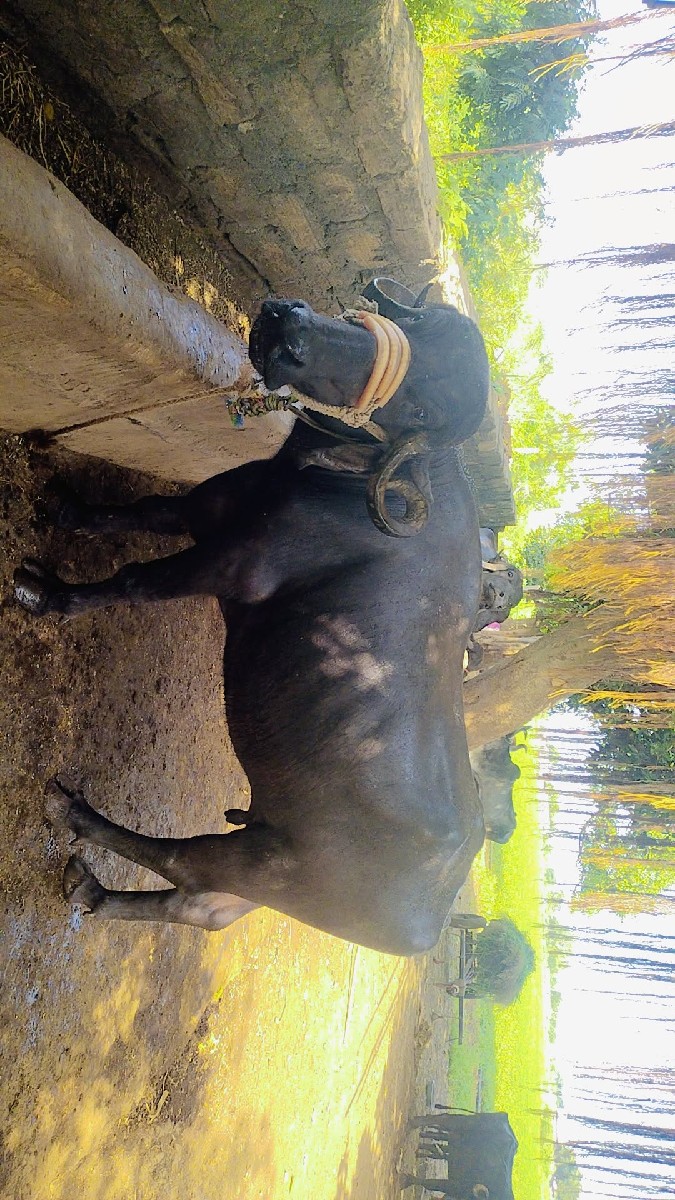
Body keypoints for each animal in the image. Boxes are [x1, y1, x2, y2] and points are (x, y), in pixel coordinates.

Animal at [14, 277, 490, 956]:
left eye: (423, 411)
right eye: (421, 323)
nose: (292, 330)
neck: (330, 481)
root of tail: (436, 915)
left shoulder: (234, 563)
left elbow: (135, 581)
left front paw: (47, 595)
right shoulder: (206, 503)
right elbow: (137, 510)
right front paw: (67, 507)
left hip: (261, 863)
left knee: (183, 864)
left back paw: (74, 815)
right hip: (258, 877)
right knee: (195, 909)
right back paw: (90, 893)